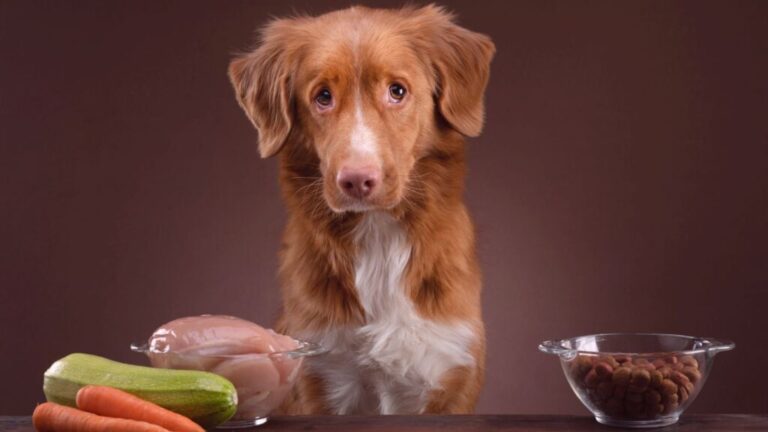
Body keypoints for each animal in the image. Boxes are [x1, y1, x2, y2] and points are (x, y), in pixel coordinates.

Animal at [226, 4, 492, 416]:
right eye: (323, 96)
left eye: (397, 91)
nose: (357, 180)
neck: (378, 236)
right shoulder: (319, 376)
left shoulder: (451, 374)